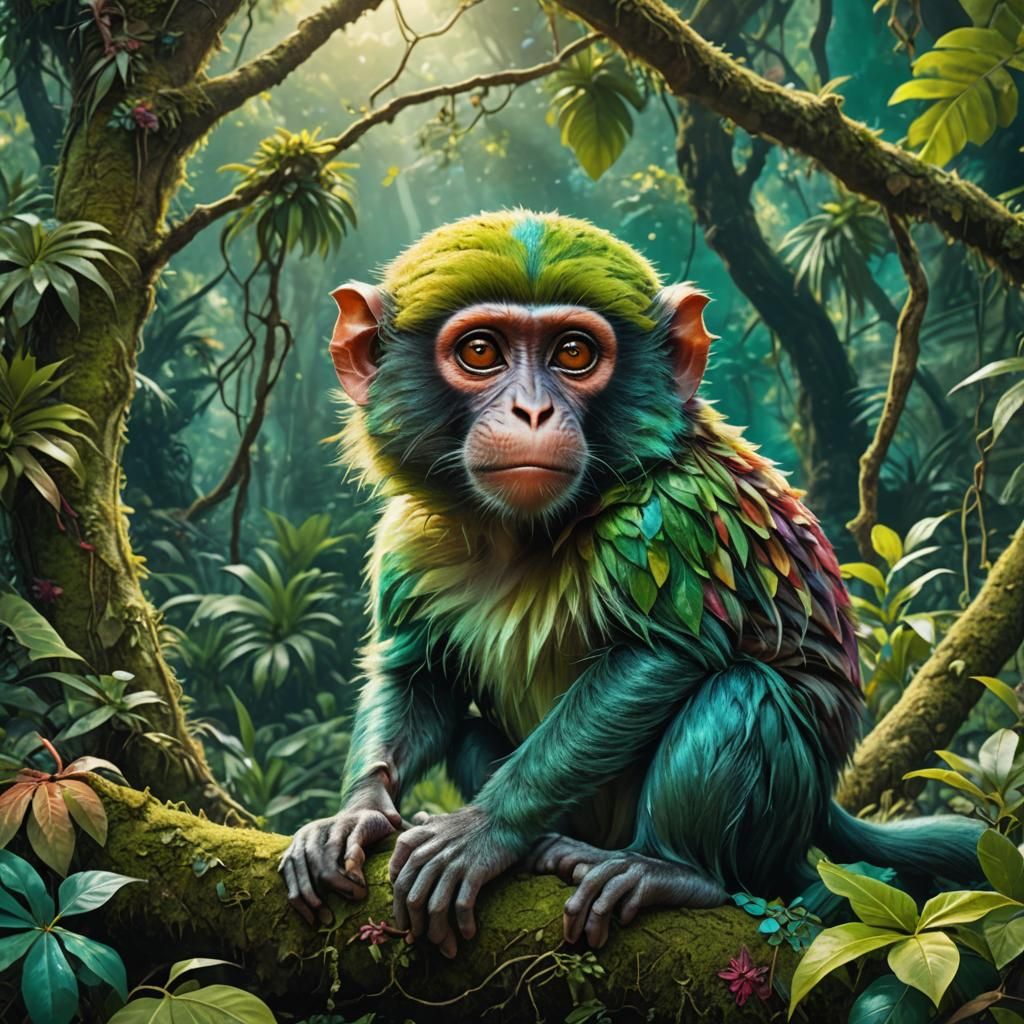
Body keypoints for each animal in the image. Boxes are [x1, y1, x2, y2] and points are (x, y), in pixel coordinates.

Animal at [278, 210, 981, 957]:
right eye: (480, 352)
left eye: (574, 354)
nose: (531, 412)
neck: (524, 534)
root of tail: (820, 812)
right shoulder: (409, 539)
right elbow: (418, 672)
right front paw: (356, 813)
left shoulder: (673, 514)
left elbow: (663, 655)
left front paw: (481, 832)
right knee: (471, 735)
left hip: (774, 832)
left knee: (742, 690)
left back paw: (670, 870)